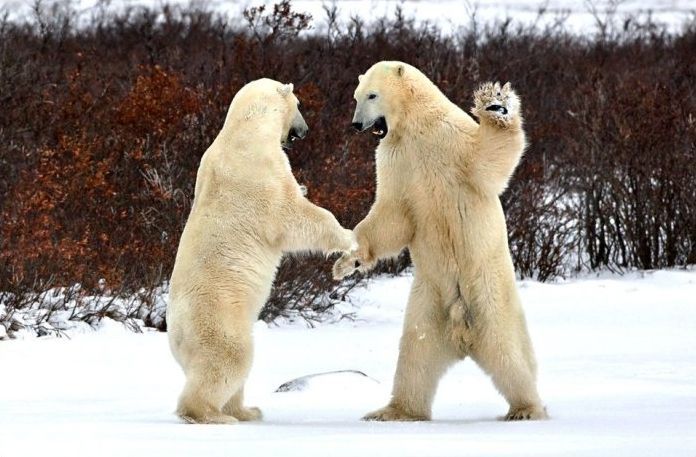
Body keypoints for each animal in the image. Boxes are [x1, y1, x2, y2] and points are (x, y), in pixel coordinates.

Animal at [167, 78, 354, 424]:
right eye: (300, 105)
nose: (304, 131)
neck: (245, 128)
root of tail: (176, 334)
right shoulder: (262, 171)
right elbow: (294, 215)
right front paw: (347, 235)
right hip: (220, 320)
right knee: (228, 360)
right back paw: (211, 414)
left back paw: (247, 410)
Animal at [334, 60, 548, 420]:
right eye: (356, 96)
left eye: (372, 95)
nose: (356, 124)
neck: (414, 126)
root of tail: (462, 334)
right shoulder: (395, 160)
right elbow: (392, 214)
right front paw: (347, 260)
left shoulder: (451, 139)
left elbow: (487, 160)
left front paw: (496, 103)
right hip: (429, 301)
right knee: (415, 355)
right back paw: (393, 411)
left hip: (489, 293)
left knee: (508, 351)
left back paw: (526, 408)